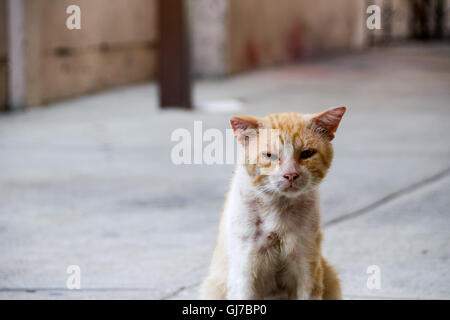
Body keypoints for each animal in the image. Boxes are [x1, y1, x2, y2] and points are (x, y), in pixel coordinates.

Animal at [200, 107, 344, 300]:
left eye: (307, 154)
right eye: (270, 155)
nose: (291, 175)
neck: (278, 206)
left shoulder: (307, 268)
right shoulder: (244, 270)